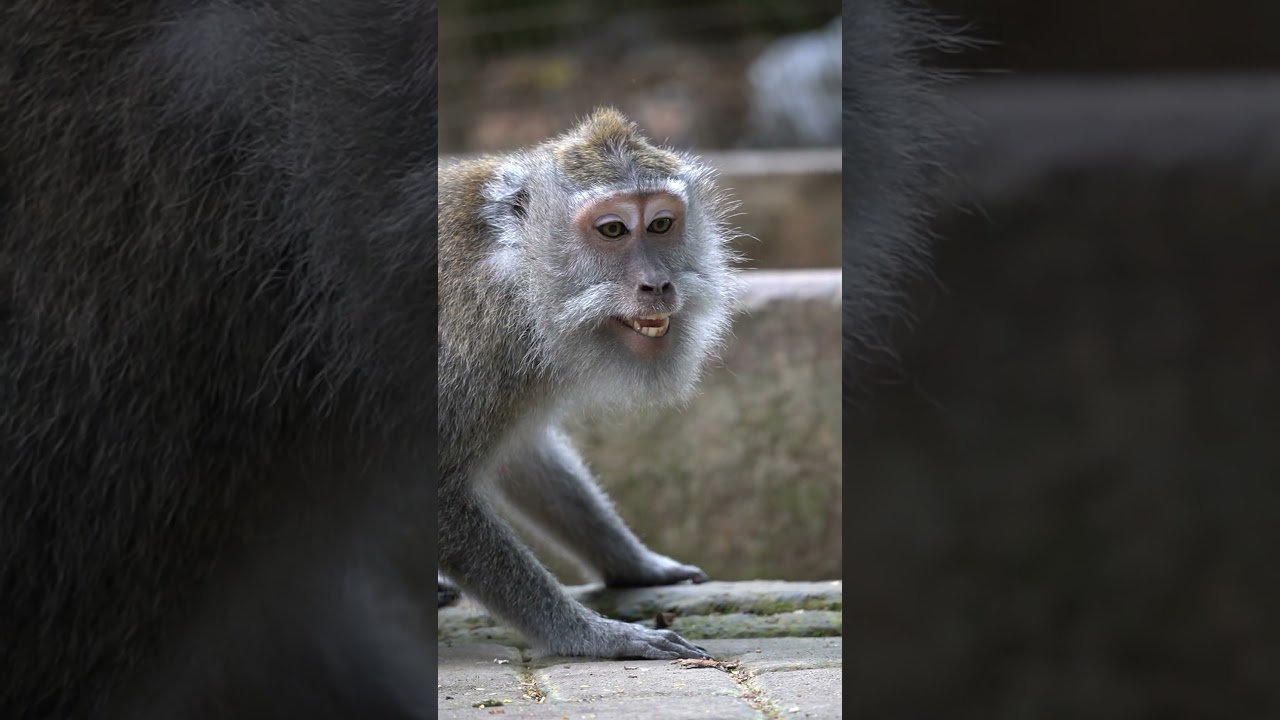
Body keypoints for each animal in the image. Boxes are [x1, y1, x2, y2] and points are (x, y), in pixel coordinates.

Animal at [437, 108, 740, 661]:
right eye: (613, 229)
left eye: (661, 224)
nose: (657, 284)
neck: (515, 274)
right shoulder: (471, 343)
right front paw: (591, 634)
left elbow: (527, 457)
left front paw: (637, 565)